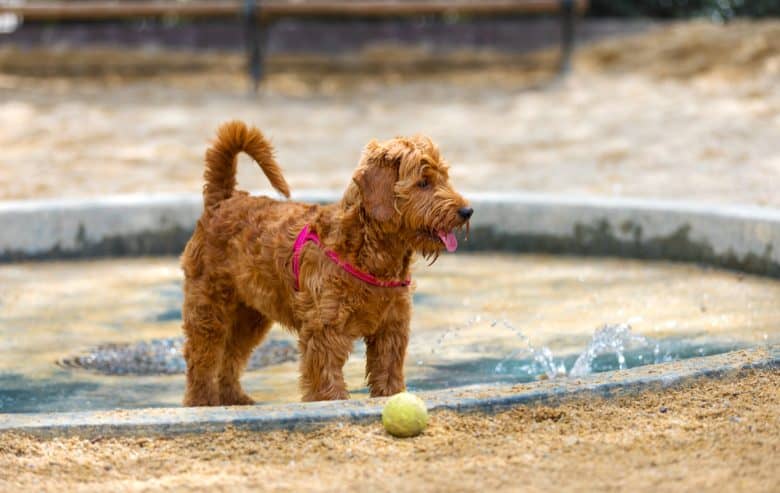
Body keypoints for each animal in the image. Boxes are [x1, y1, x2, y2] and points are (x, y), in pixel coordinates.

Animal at [183, 120, 472, 404]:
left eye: (444, 177)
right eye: (423, 182)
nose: (467, 211)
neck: (372, 255)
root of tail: (222, 200)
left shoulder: (391, 329)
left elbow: (388, 375)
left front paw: (392, 395)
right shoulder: (325, 329)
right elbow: (327, 381)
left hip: (250, 315)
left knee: (230, 357)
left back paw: (235, 399)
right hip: (209, 308)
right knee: (202, 361)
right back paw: (202, 403)